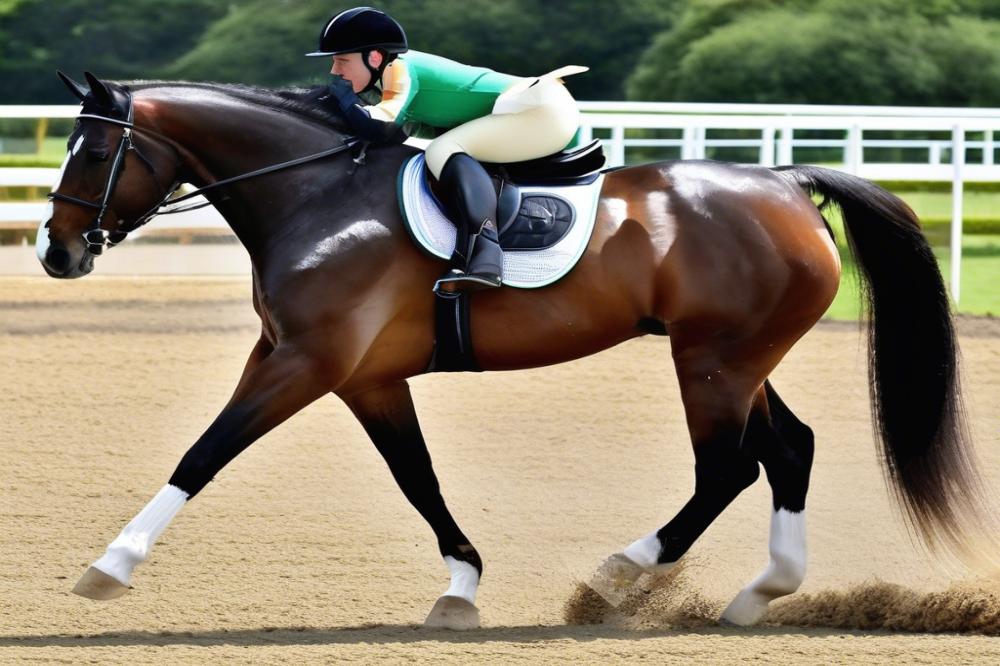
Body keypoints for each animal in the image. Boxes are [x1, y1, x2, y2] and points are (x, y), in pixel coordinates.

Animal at [37, 72, 984, 628]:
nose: (55, 253)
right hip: (738, 357)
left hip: (711, 364)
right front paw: (460, 588)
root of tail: (787, 181)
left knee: (728, 468)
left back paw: (614, 578)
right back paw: (760, 595)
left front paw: (108, 567)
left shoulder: (306, 364)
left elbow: (206, 453)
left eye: (94, 150)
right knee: (789, 450)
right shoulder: (361, 377)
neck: (316, 195)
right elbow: (417, 479)